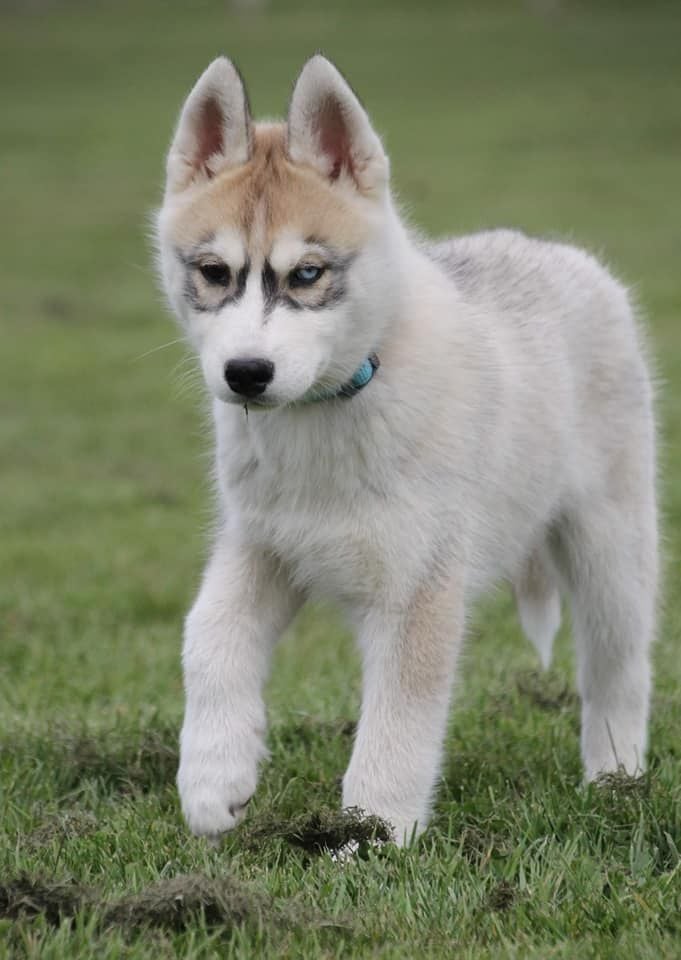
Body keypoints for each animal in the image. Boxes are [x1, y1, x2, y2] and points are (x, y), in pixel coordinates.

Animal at [157, 56, 656, 844]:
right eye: (213, 272)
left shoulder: (418, 587)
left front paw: (368, 834)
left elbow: (398, 724)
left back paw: (615, 779)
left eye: (306, 274)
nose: (246, 373)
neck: (327, 415)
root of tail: (552, 250)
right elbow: (207, 638)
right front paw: (213, 781)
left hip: (610, 543)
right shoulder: (261, 545)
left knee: (619, 664)